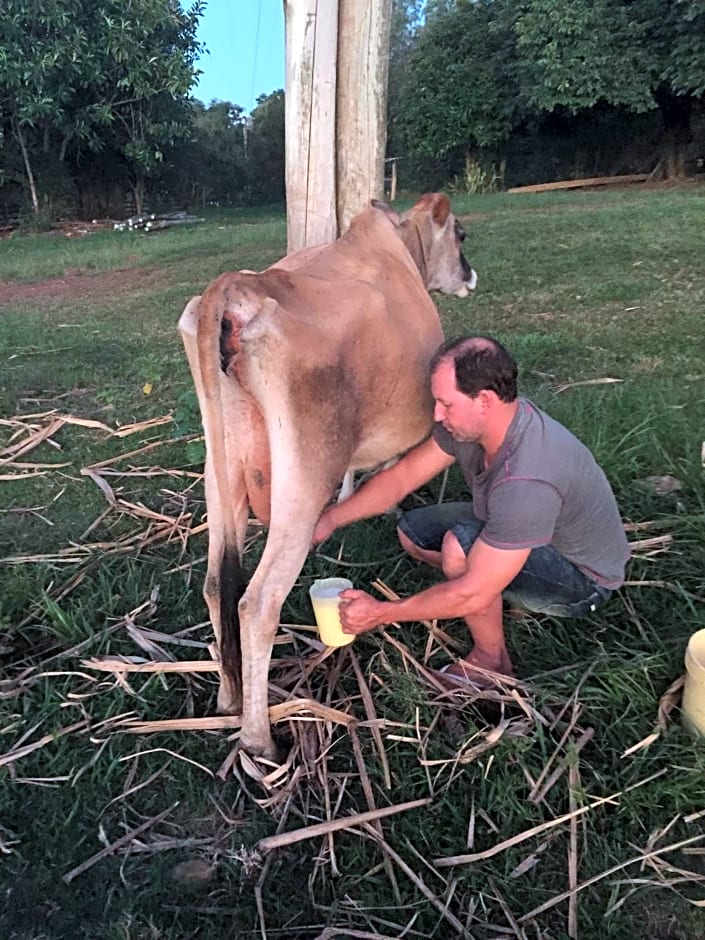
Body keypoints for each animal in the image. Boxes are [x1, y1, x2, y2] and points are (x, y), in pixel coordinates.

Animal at [179, 195, 478, 760]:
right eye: (462, 235)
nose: (471, 275)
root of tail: (236, 287)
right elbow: (395, 468)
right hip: (302, 473)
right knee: (258, 602)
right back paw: (259, 740)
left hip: (219, 467)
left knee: (215, 583)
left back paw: (228, 698)